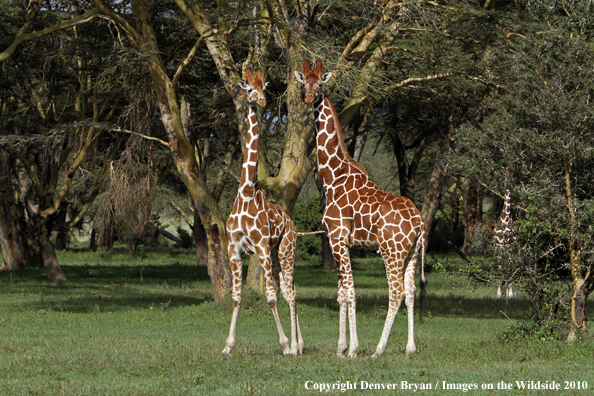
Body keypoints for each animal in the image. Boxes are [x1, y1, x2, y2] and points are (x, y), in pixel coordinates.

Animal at [220, 67, 302, 356]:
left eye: (263, 86)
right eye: (248, 89)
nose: (263, 101)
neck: (245, 192)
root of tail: (291, 224)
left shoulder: (262, 248)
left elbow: (270, 296)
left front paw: (285, 345)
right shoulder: (234, 248)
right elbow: (236, 297)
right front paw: (228, 346)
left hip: (285, 250)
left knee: (291, 293)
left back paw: (296, 346)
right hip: (277, 256)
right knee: (289, 290)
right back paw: (299, 344)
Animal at [294, 59, 426, 358]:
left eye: (320, 83)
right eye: (303, 81)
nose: (308, 97)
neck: (333, 176)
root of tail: (420, 222)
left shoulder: (337, 238)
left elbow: (351, 292)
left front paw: (352, 348)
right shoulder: (342, 243)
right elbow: (341, 293)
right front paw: (341, 347)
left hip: (391, 251)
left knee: (396, 292)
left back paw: (378, 349)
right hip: (412, 252)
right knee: (411, 291)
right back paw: (410, 347)